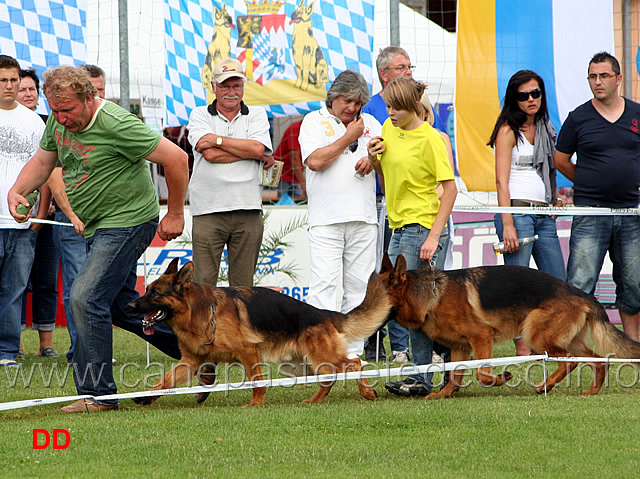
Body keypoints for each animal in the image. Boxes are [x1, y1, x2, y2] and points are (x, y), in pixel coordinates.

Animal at [128, 260, 392, 406]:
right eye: (147, 289)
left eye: (154, 293)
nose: (130, 305)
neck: (198, 312)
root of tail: (324, 313)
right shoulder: (190, 361)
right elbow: (165, 381)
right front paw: (146, 396)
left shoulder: (248, 352)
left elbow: (257, 381)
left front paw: (256, 403)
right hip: (300, 365)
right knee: (330, 377)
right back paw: (315, 401)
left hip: (319, 357)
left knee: (354, 363)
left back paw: (367, 392)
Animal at [378, 255, 640, 398]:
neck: (433, 295)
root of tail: (581, 293)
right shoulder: (461, 346)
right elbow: (455, 373)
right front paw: (445, 393)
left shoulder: (481, 337)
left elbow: (482, 373)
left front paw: (501, 378)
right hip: (568, 340)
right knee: (598, 360)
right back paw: (592, 391)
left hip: (536, 334)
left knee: (566, 359)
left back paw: (546, 385)